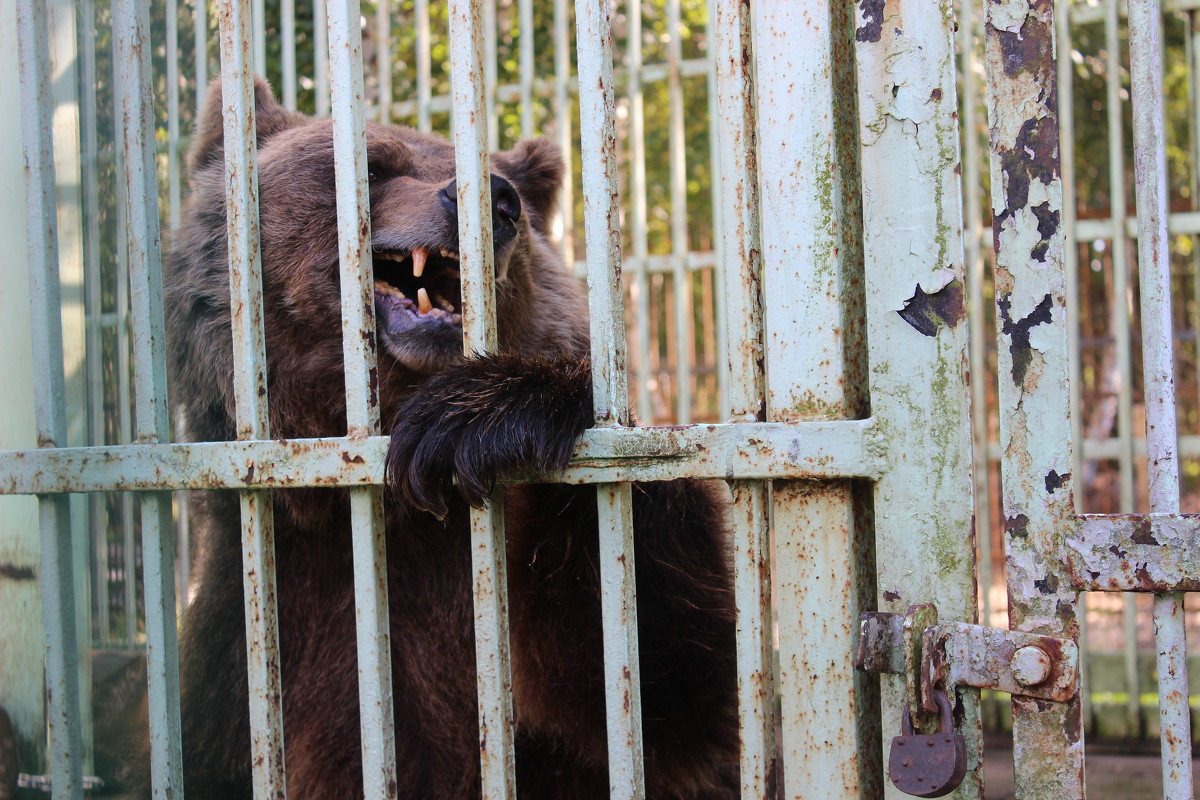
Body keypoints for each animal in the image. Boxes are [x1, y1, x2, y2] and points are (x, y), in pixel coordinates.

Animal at [162, 79, 739, 800]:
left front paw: (485, 413)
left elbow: (667, 697)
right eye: (373, 165)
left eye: (503, 181)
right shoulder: (247, 651)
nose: (495, 199)